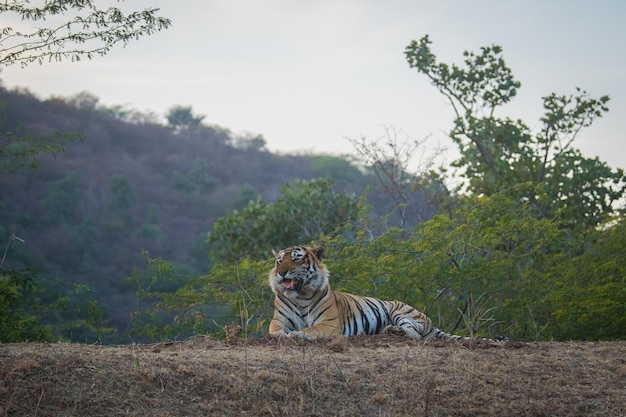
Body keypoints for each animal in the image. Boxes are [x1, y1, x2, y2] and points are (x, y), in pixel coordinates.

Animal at [266, 245, 478, 340]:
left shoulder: (328, 323)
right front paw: (281, 335)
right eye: (279, 261)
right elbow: (275, 330)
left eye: (296, 259)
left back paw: (393, 330)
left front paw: (296, 334)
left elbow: (309, 330)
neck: (300, 296)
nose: (281, 272)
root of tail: (431, 322)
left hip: (401, 311)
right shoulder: (279, 319)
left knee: (416, 334)